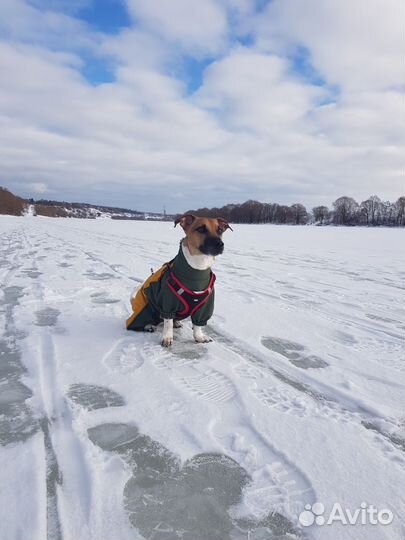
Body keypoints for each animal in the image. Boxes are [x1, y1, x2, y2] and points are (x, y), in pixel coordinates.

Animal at [124, 214, 232, 346]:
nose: (220, 244)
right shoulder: (167, 301)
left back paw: (176, 322)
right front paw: (167, 338)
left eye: (220, 230)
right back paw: (148, 326)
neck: (197, 269)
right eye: (201, 229)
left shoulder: (205, 305)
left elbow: (197, 325)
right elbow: (168, 322)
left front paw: (199, 337)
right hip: (147, 307)